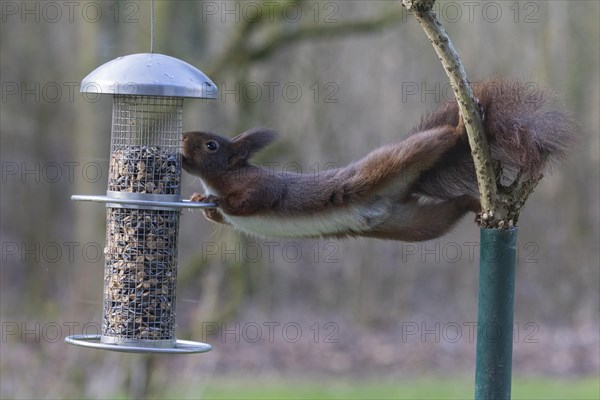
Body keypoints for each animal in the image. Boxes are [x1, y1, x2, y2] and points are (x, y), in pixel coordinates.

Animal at [180, 79, 576, 239]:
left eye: (211, 145)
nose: (182, 138)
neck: (219, 177)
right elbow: (217, 214)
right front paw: (202, 200)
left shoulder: (260, 185)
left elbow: (253, 200)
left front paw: (219, 201)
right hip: (415, 225)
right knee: (448, 211)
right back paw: (473, 204)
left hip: (394, 161)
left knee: (436, 140)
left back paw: (460, 127)